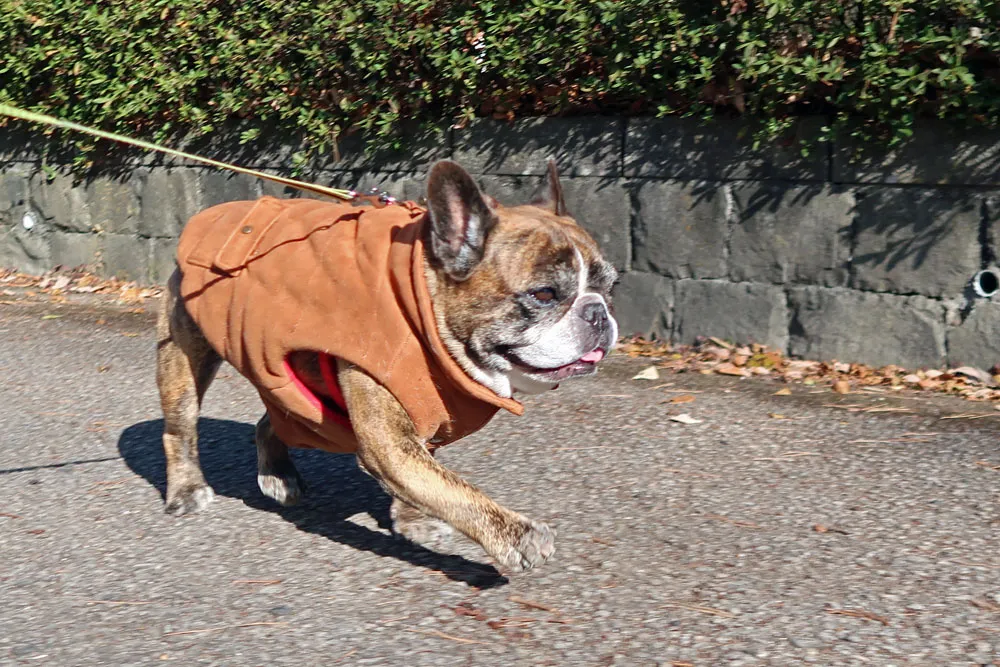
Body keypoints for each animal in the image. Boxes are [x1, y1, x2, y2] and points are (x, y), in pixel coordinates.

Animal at [156, 159, 616, 572]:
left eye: (610, 287)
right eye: (544, 295)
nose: (598, 312)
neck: (425, 310)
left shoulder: (417, 430)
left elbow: (427, 480)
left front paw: (413, 520)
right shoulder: (389, 441)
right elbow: (451, 488)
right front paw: (516, 536)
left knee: (276, 417)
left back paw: (278, 474)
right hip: (184, 354)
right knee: (179, 427)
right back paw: (187, 488)